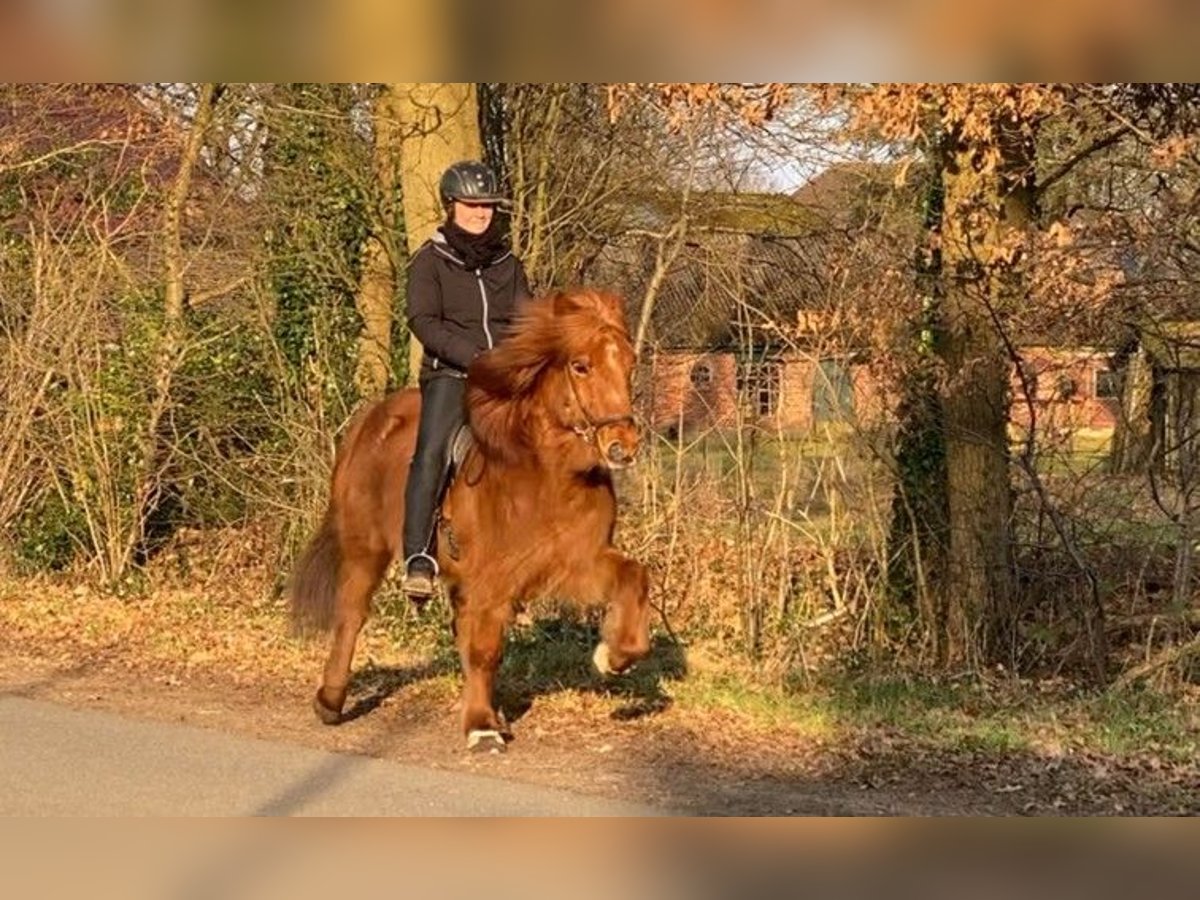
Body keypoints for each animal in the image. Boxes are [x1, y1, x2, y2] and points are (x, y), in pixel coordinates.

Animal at [286, 289, 652, 753]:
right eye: (580, 365)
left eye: (630, 363)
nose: (623, 446)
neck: (549, 473)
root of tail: (370, 421)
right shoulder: (494, 578)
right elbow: (485, 649)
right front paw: (480, 726)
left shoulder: (576, 561)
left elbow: (634, 577)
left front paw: (614, 658)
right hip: (365, 550)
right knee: (351, 616)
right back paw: (331, 701)